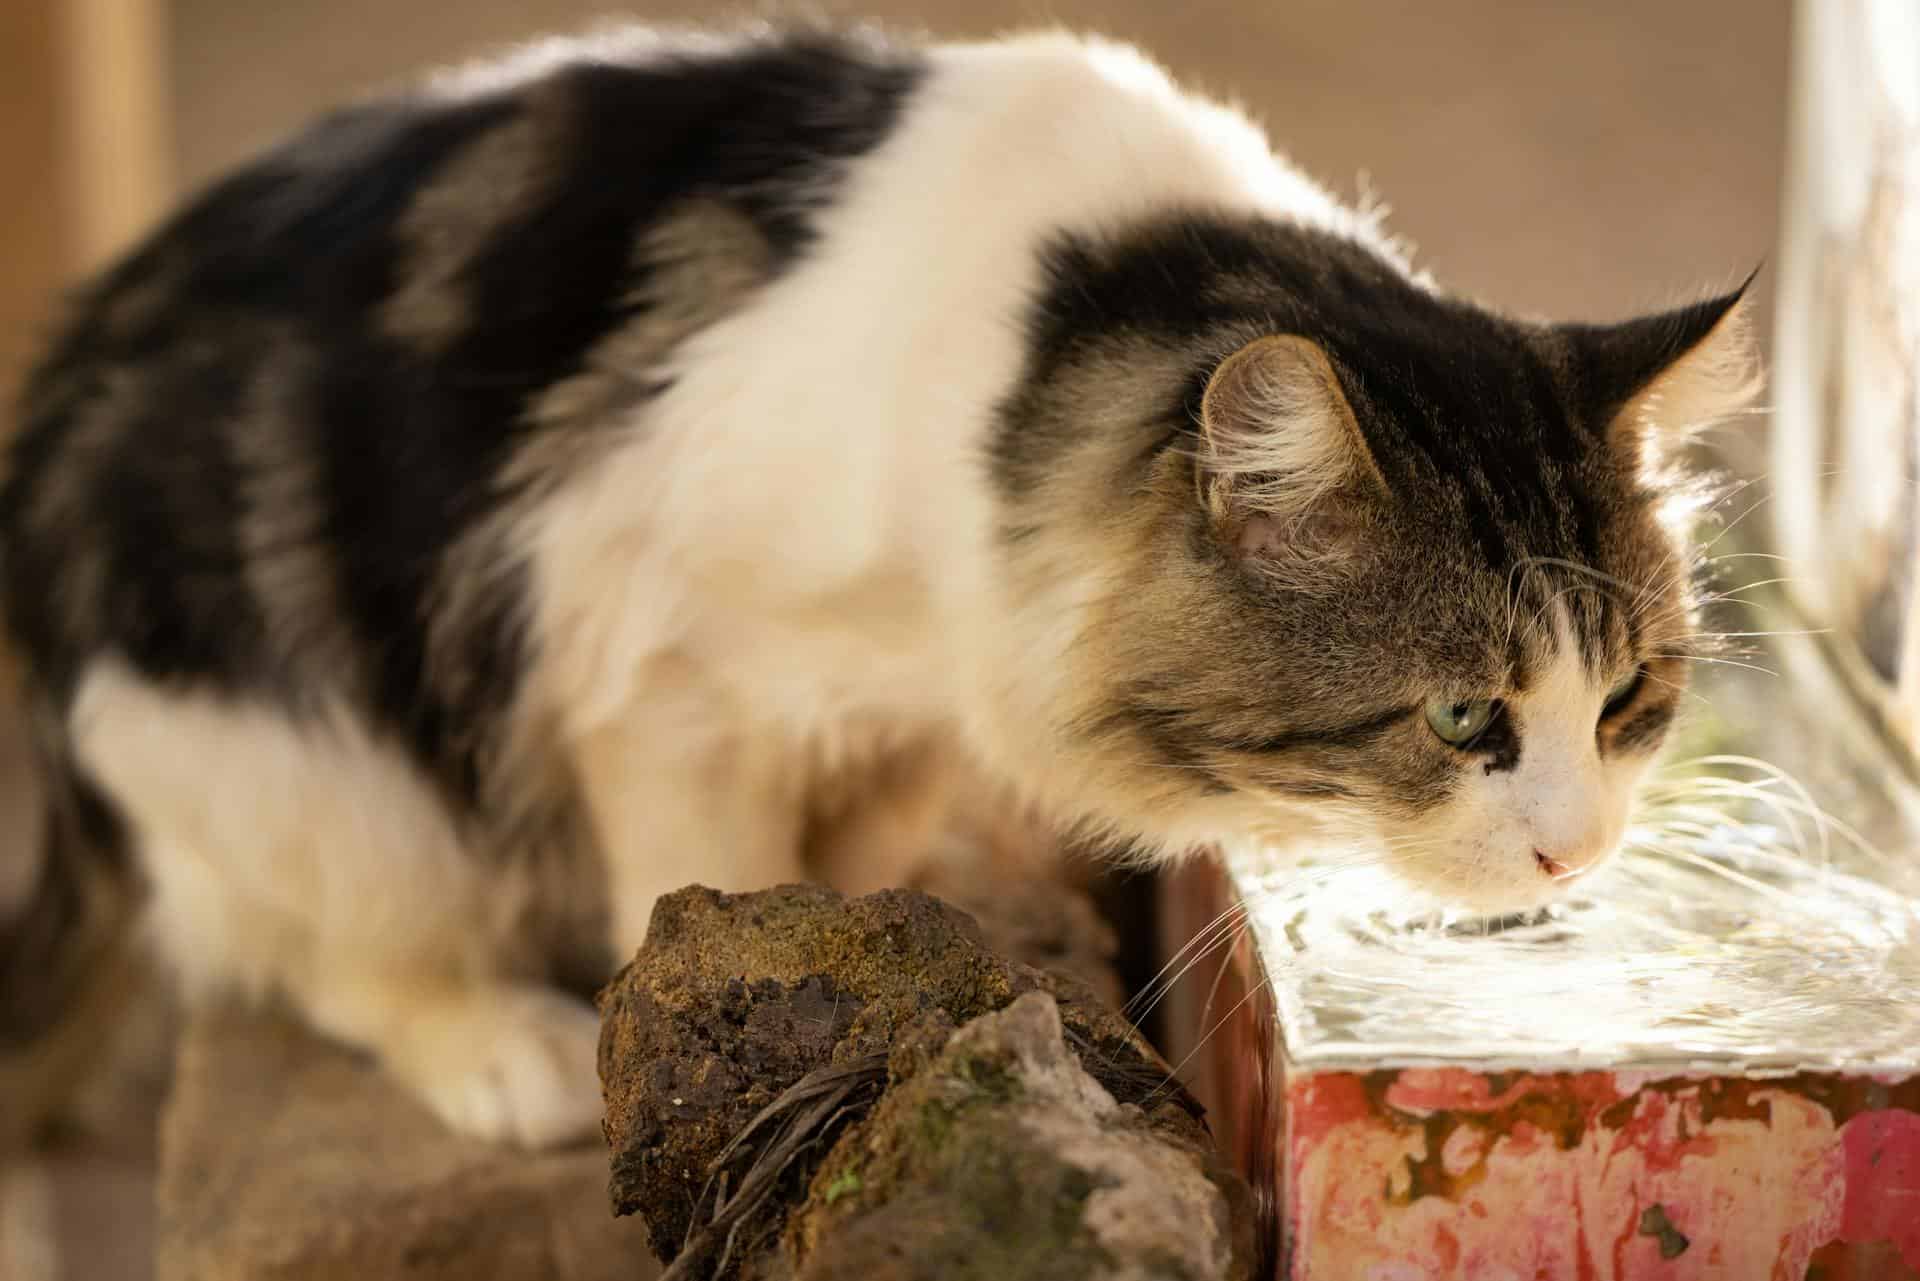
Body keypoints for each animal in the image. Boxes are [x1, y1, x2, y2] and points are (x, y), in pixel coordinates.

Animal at [0, 25, 1758, 1152]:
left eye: (1628, 702)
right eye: (1462, 719)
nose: (1579, 848)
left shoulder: (914, 697)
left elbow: (851, 848)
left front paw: (871, 942)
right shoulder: (649, 661)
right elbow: (697, 890)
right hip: (286, 743)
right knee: (304, 942)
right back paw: (511, 1052)